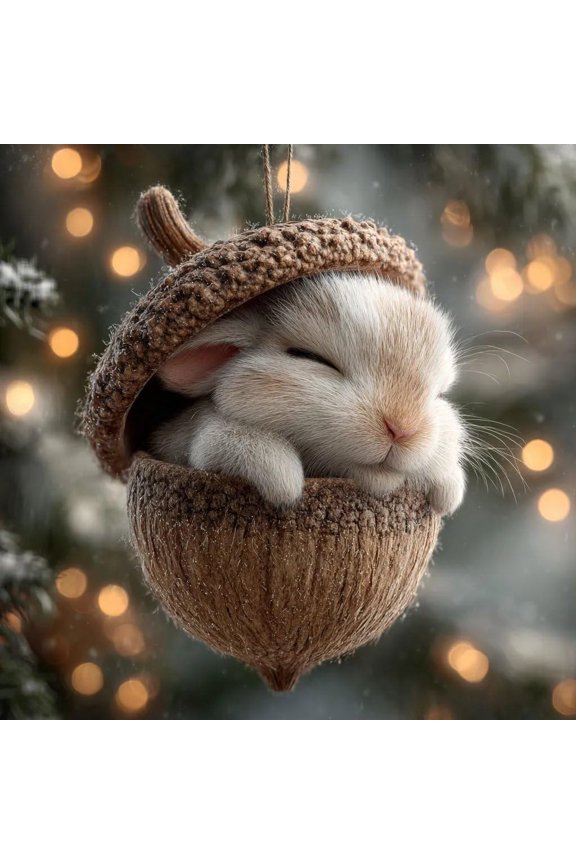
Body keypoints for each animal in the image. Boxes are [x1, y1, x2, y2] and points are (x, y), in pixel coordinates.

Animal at [150, 272, 466, 515]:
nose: (402, 429)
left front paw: (448, 487)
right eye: (310, 357)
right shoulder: (202, 438)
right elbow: (223, 440)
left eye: (439, 394)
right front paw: (283, 480)